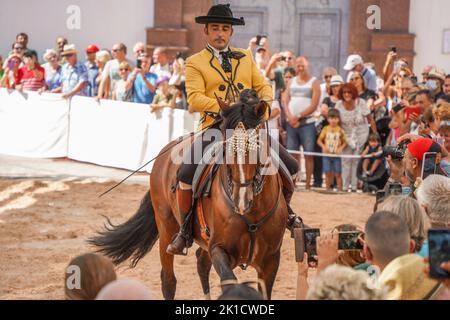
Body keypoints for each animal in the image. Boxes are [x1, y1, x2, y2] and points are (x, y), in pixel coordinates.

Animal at [89, 89, 288, 298]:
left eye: (257, 144)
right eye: (226, 146)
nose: (241, 200)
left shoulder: (271, 260)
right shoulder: (219, 249)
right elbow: (230, 283)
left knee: (201, 263)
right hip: (166, 228)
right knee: (169, 279)